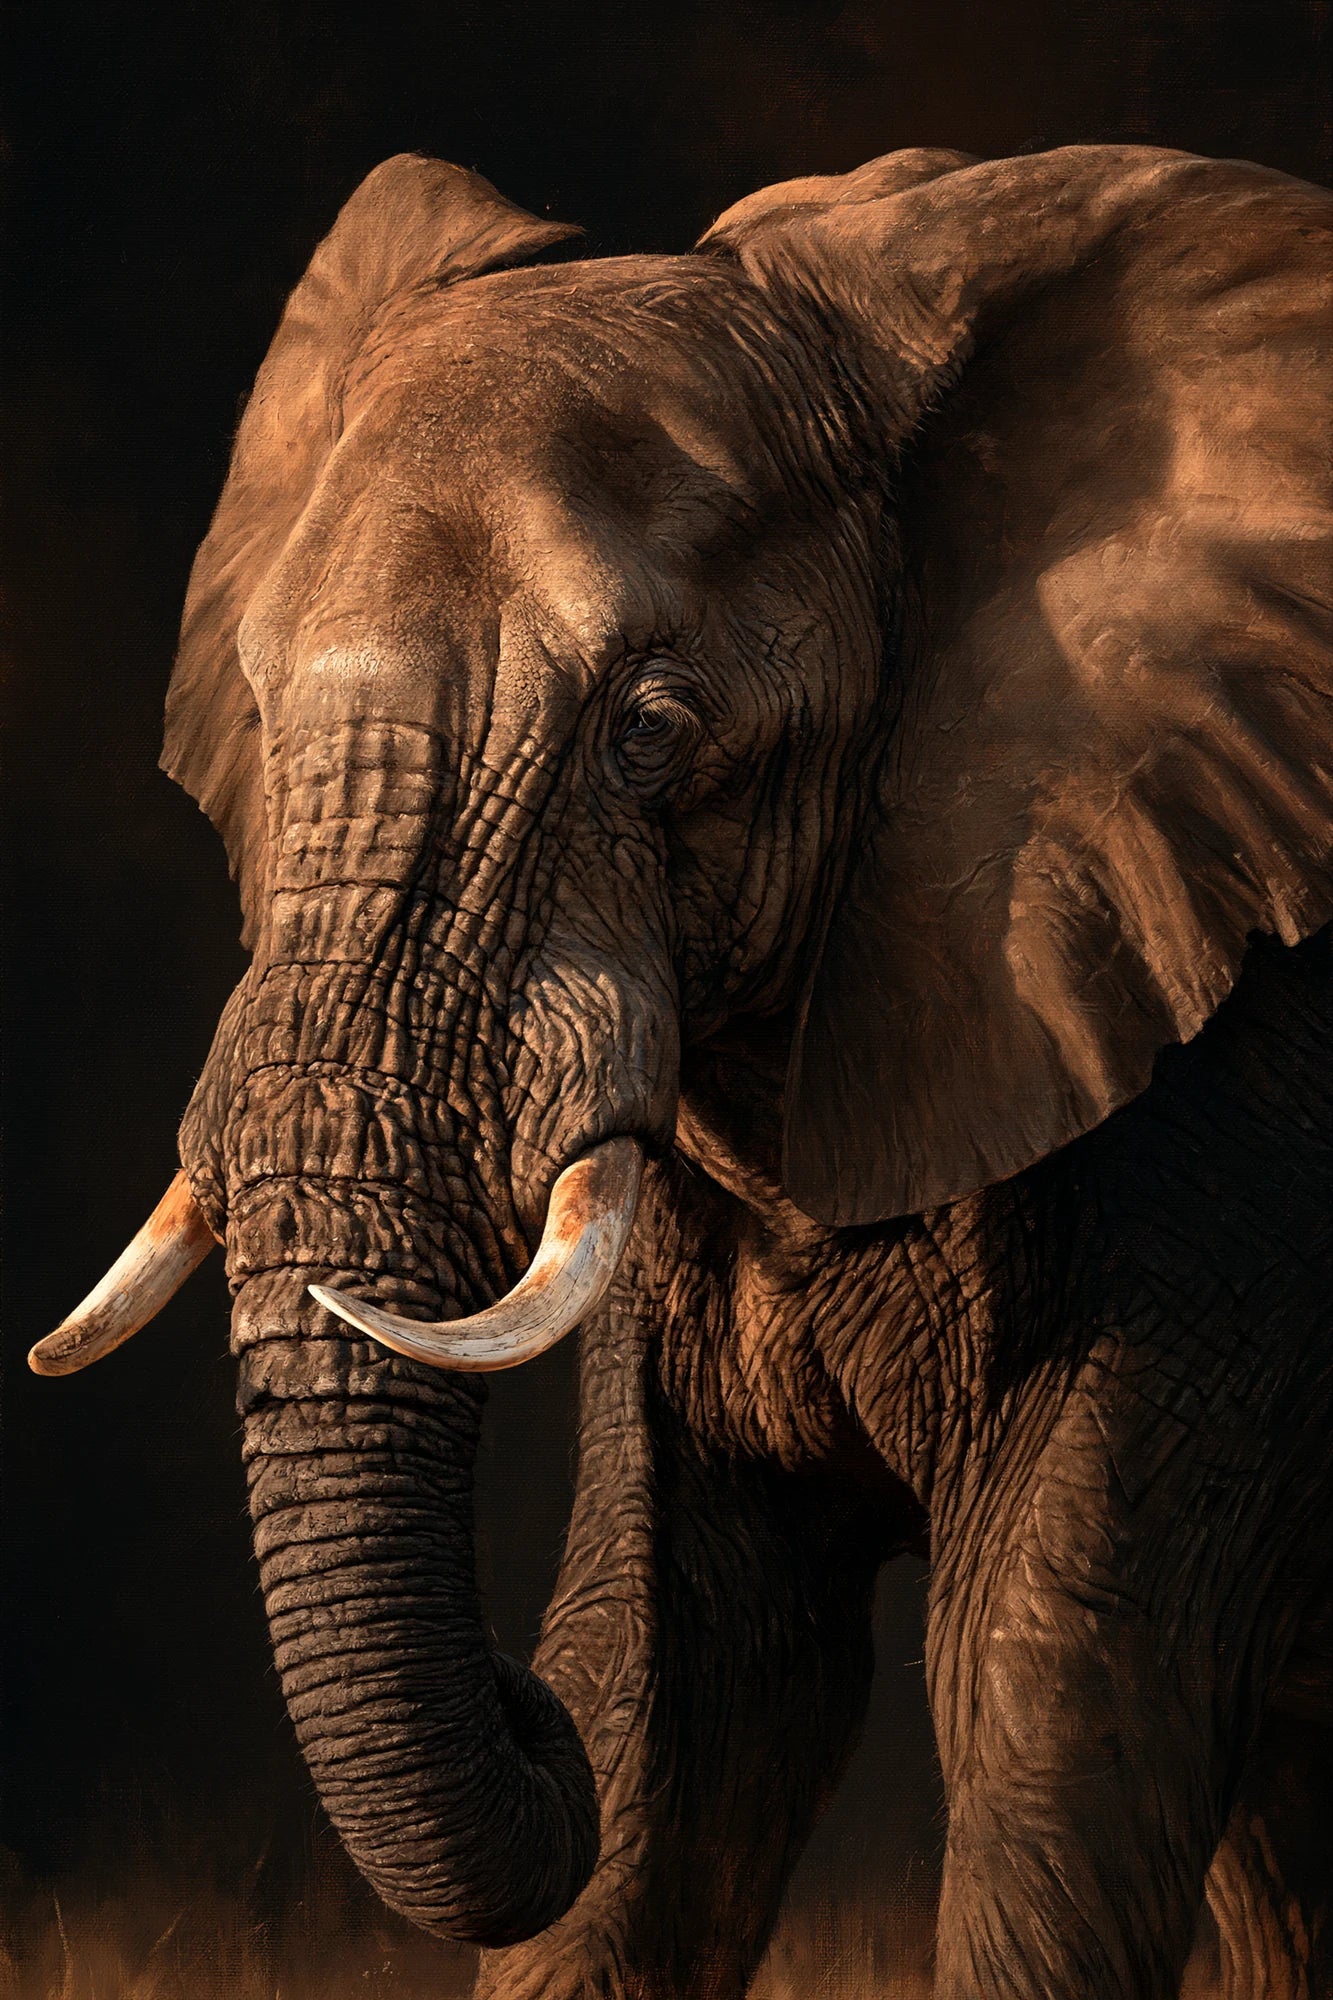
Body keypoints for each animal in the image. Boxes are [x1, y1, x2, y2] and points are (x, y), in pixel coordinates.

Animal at [31, 140, 1333, 1999]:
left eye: (649, 734)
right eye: (264, 726)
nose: (516, 1704)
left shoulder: (1233, 1109)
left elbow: (1047, 1665)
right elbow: (683, 1677)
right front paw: (611, 1688)